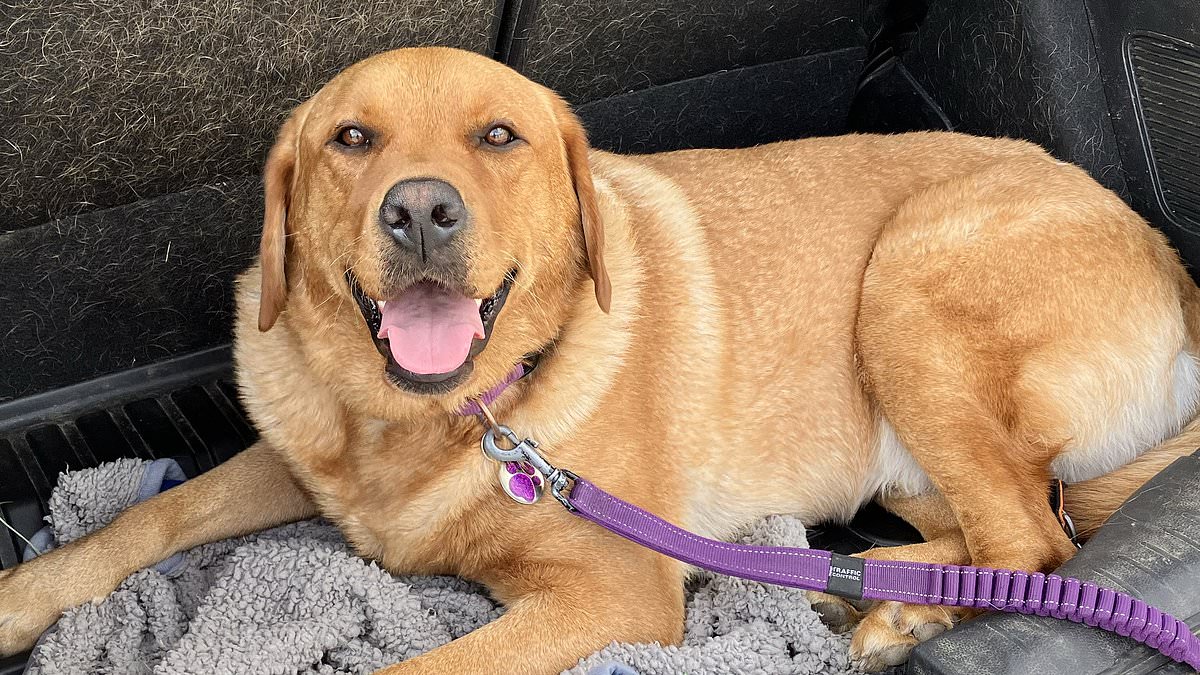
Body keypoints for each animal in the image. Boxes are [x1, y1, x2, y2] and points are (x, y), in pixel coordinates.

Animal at [2, 45, 1200, 667]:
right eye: (351, 138)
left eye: (499, 136)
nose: (421, 211)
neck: (441, 420)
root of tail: (1170, 266)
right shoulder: (298, 463)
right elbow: (149, 517)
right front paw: (24, 595)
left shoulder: (613, 594)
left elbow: (429, 663)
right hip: (898, 440)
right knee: (1000, 534)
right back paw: (868, 596)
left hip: (906, 289)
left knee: (1032, 545)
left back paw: (902, 616)